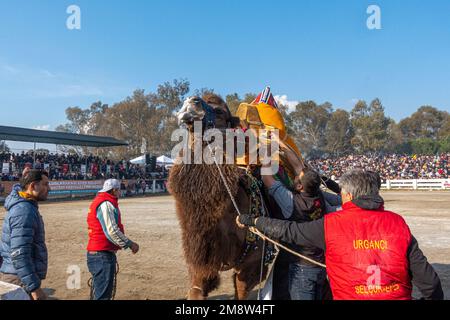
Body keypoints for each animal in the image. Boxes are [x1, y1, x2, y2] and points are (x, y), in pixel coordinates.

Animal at [168, 94, 278, 300]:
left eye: (220, 111)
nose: (191, 102)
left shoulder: (251, 263)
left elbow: (241, 291)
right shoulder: (200, 260)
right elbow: (197, 289)